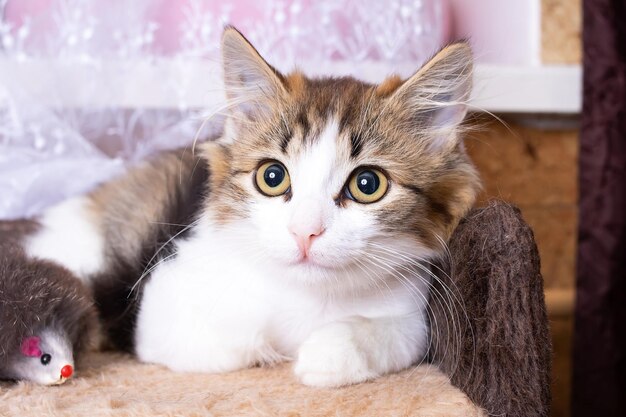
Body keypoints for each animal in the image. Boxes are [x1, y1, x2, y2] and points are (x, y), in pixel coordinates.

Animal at [11, 26, 478, 386]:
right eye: (272, 177)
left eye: (367, 185)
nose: (305, 231)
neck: (308, 295)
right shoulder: (160, 307)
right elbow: (238, 338)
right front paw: (271, 348)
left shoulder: (413, 306)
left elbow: (398, 335)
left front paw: (326, 354)